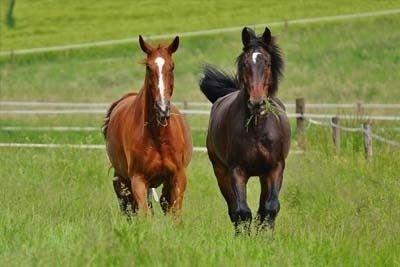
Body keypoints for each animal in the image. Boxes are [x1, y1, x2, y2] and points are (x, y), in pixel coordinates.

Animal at [102, 35, 191, 217]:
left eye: (172, 66)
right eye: (149, 68)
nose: (162, 108)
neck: (158, 136)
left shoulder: (178, 177)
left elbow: (175, 214)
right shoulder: (138, 180)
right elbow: (144, 215)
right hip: (122, 180)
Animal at [200, 27, 290, 232]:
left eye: (267, 63)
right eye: (244, 64)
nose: (257, 103)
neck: (257, 130)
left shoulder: (275, 168)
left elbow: (270, 208)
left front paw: (267, 237)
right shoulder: (236, 170)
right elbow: (242, 211)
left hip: (264, 176)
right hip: (221, 172)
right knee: (234, 209)